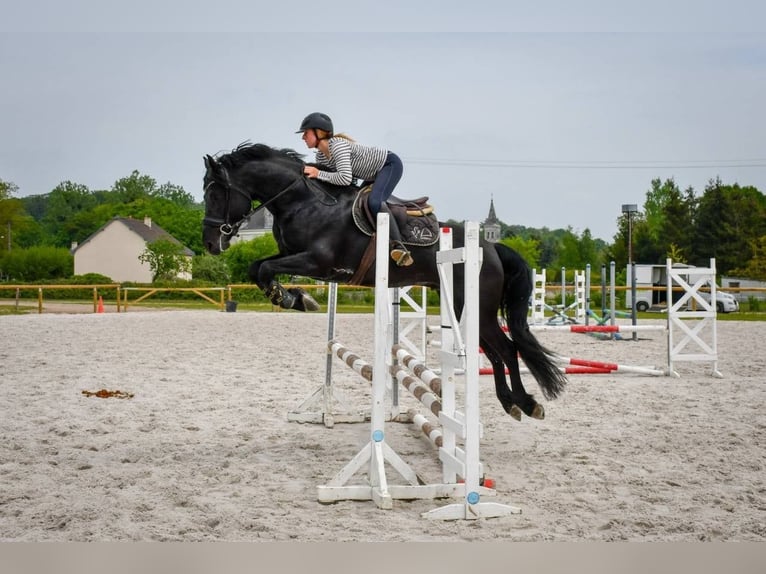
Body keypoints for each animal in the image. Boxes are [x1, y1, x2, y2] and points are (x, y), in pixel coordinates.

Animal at [201, 143, 568, 424]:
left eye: (216, 194)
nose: (209, 243)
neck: (303, 202)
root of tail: (492, 247)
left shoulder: (317, 262)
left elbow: (265, 269)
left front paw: (293, 298)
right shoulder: (293, 255)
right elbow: (257, 267)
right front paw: (294, 297)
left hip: (478, 309)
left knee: (507, 349)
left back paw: (526, 403)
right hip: (466, 310)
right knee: (495, 353)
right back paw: (512, 402)